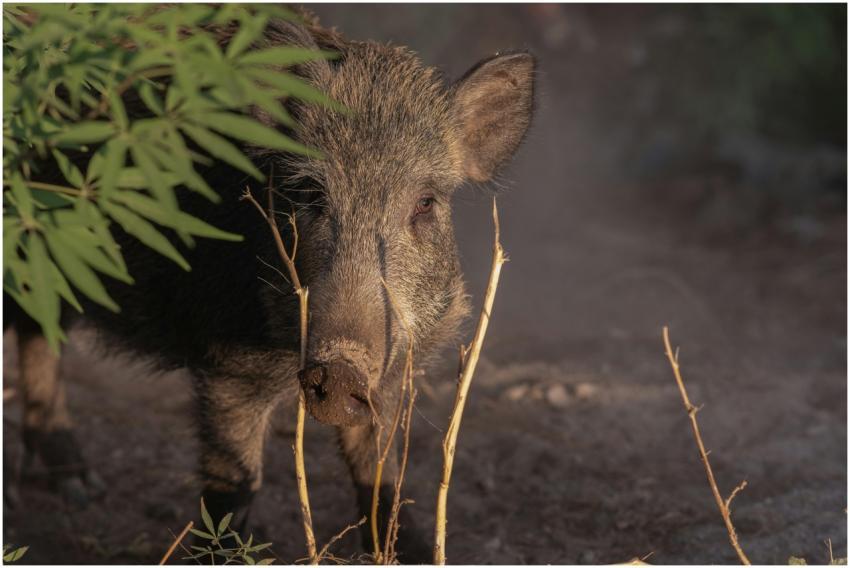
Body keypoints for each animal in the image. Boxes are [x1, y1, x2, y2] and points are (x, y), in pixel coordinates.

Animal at [5, 11, 535, 563]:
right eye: (311, 195)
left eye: (426, 202)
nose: (340, 368)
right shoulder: (228, 366)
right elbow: (234, 485)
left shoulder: (394, 371)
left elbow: (380, 474)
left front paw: (407, 549)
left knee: (39, 332)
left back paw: (80, 487)